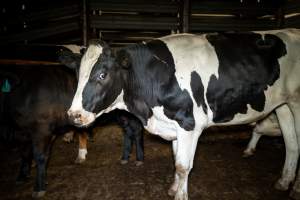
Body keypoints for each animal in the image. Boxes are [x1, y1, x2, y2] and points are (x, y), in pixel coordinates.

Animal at [67, 28, 300, 200]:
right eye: (77, 74)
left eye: (102, 74)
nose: (73, 115)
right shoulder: (174, 125)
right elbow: (175, 159)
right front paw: (173, 188)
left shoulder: (189, 124)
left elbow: (183, 165)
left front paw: (180, 194)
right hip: (283, 105)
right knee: (292, 144)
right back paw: (284, 182)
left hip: (296, 103)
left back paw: (295, 188)